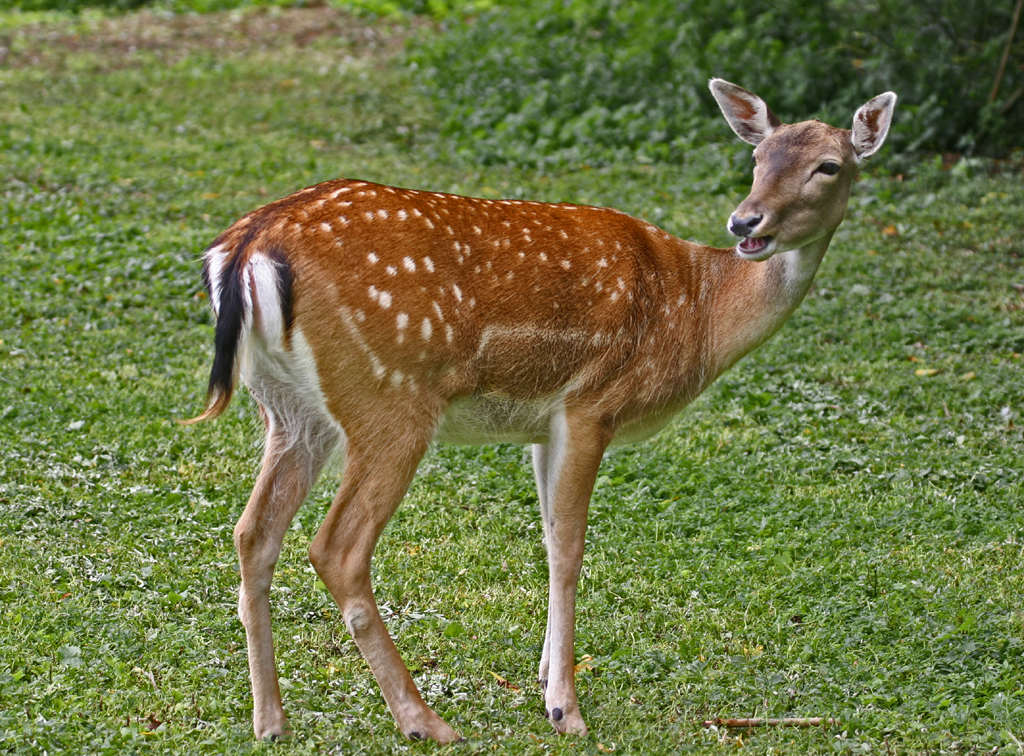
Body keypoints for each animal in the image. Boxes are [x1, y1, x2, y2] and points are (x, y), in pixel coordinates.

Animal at [188, 79, 892, 737]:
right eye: (757, 157)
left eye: (828, 165)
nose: (747, 222)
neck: (694, 310)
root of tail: (246, 248)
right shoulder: (591, 404)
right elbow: (570, 548)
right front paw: (564, 707)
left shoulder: (539, 424)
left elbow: (548, 533)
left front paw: (546, 673)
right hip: (389, 401)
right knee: (336, 548)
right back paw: (424, 721)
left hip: (291, 411)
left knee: (252, 533)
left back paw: (270, 721)